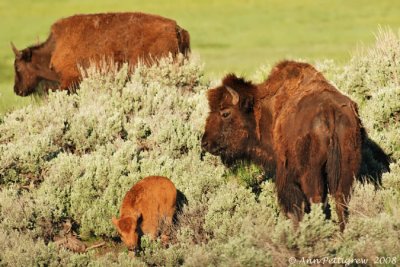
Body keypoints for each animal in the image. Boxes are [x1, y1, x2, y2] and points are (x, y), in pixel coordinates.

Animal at [200, 60, 366, 230]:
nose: (205, 143)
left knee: (317, 200)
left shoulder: (286, 175)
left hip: (311, 174)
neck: (263, 111)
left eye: (225, 113)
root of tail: (330, 111)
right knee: (341, 200)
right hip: (346, 168)